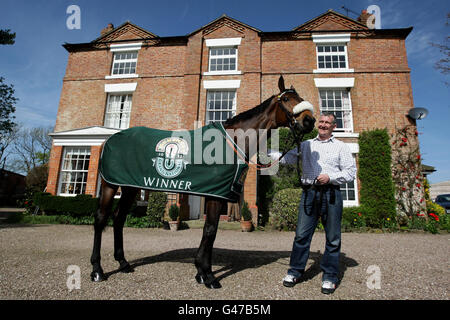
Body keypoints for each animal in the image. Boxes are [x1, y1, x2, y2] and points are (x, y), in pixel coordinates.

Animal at [89, 76, 314, 288]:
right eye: (286, 99)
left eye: (300, 97)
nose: (309, 120)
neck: (232, 142)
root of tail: (111, 139)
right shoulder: (215, 196)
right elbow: (210, 230)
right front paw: (208, 275)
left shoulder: (218, 194)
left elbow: (209, 231)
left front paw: (201, 272)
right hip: (110, 185)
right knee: (101, 219)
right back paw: (97, 270)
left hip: (130, 188)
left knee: (118, 218)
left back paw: (123, 263)